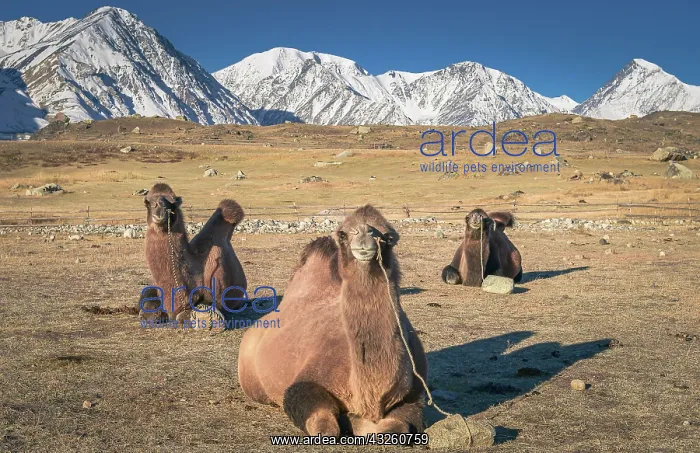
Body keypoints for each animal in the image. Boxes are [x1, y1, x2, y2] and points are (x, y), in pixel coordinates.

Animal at [237, 205, 427, 437]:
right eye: (343, 234)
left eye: (388, 237)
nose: (364, 237)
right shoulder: (305, 384)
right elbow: (326, 427)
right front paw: (349, 421)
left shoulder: (415, 394)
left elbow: (397, 428)